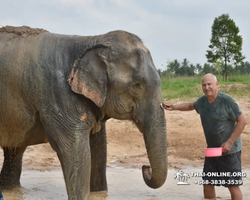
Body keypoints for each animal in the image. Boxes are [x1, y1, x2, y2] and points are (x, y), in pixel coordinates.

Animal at [0, 25, 168, 199]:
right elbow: (74, 151)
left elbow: (98, 146)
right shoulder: (60, 95)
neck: (91, 41)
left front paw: (99, 193)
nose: (145, 168)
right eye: (136, 85)